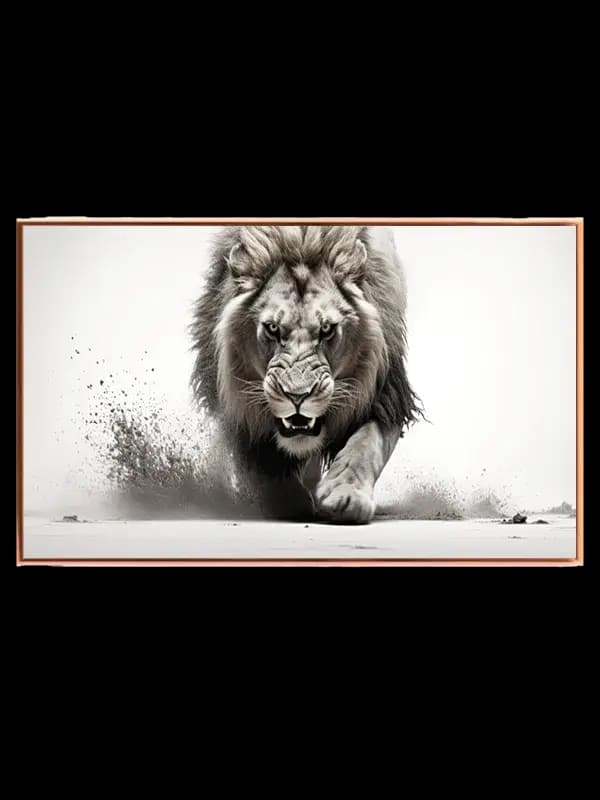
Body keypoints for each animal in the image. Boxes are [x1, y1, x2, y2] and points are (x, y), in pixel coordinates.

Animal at [190, 225, 421, 524]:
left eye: (327, 329)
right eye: (272, 328)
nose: (297, 396)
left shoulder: (386, 393)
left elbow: (366, 444)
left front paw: (345, 496)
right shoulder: (238, 409)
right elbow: (265, 468)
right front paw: (289, 503)